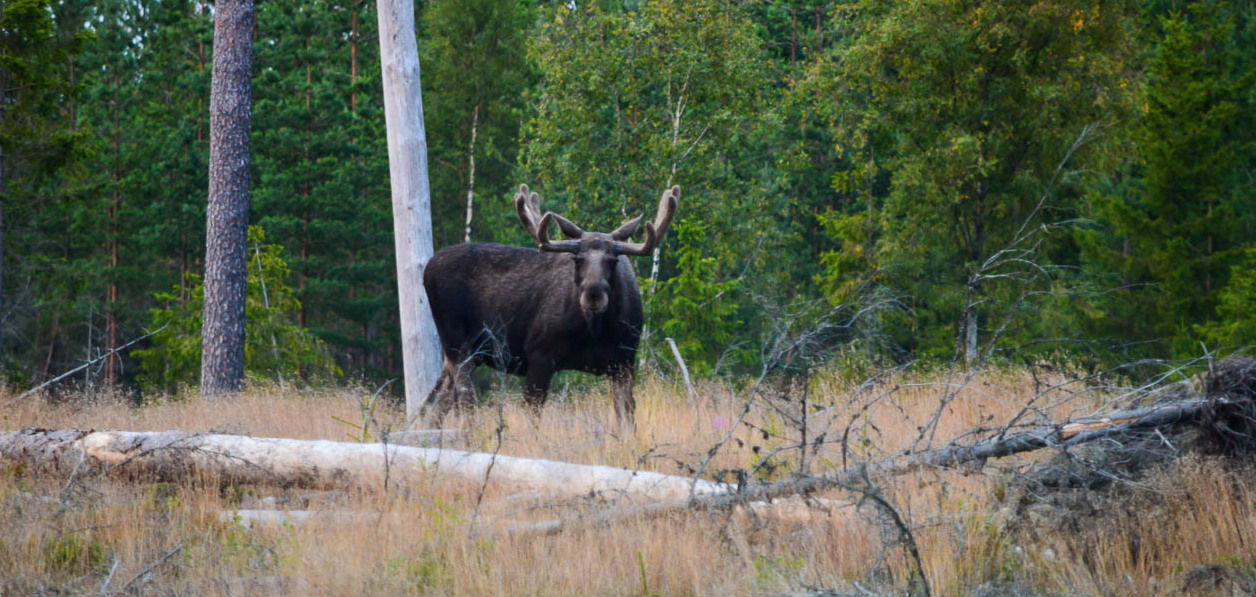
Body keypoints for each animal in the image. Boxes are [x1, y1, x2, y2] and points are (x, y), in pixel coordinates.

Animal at [419, 182, 678, 424]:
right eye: (577, 259)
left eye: (613, 260)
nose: (593, 295)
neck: (594, 332)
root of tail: (427, 268)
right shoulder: (539, 355)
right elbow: (531, 420)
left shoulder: (624, 362)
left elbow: (627, 422)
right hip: (456, 344)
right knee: (463, 403)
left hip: (468, 353)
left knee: (432, 405)